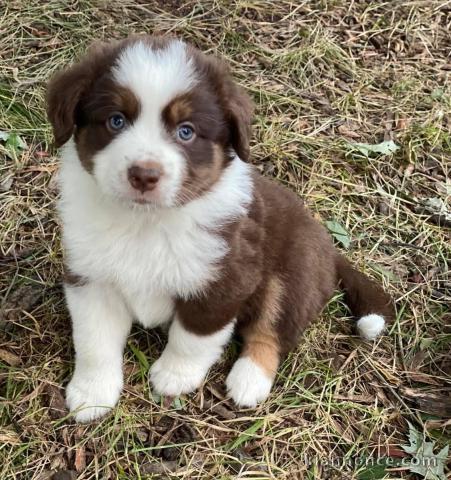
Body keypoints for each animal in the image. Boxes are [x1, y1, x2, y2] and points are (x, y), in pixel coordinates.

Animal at [45, 35, 392, 422]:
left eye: (186, 131)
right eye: (116, 121)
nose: (144, 175)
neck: (147, 222)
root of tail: (328, 246)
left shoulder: (224, 279)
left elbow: (193, 337)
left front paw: (174, 376)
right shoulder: (91, 278)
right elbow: (95, 341)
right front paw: (92, 394)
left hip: (293, 273)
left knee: (271, 332)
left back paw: (249, 380)